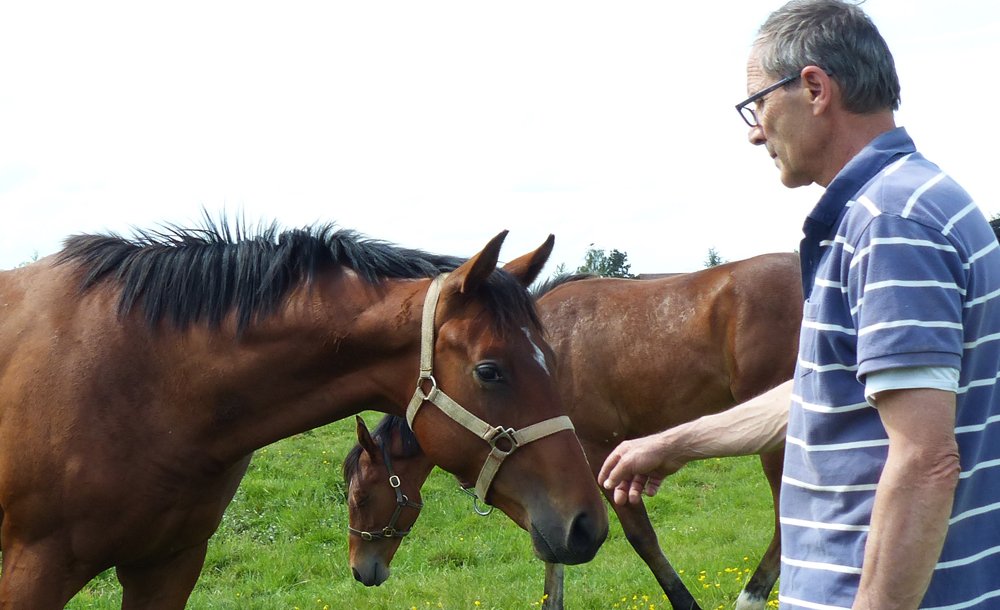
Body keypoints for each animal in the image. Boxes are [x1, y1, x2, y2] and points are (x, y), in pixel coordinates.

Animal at [344, 252, 803, 610]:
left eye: (360, 497)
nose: (362, 569)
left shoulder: (596, 455)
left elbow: (640, 538)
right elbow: (554, 552)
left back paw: (752, 596)